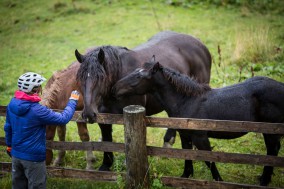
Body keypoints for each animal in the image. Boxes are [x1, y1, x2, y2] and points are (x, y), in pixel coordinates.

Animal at [74, 30, 212, 171]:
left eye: (101, 77)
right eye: (79, 78)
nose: (88, 114)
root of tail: (199, 43)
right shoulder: (104, 119)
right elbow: (107, 143)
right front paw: (105, 166)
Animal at [112, 56, 284, 186]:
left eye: (139, 76)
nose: (114, 88)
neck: (186, 101)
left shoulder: (200, 138)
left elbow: (209, 160)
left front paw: (219, 181)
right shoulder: (185, 136)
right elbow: (187, 156)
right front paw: (184, 177)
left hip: (270, 131)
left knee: (272, 151)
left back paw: (264, 181)